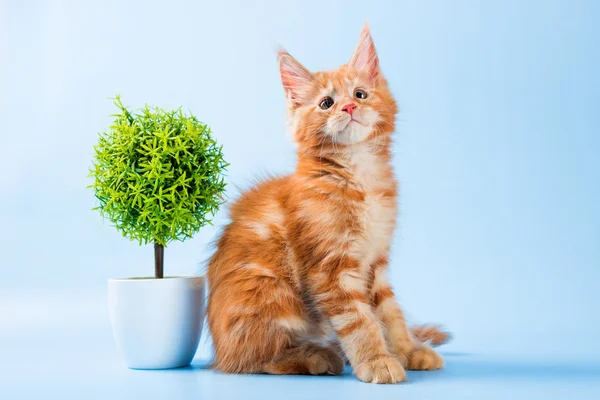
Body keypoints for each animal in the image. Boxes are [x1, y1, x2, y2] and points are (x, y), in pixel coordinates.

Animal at [206, 25, 446, 384]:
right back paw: (315, 356)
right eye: (326, 103)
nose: (348, 108)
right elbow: (359, 321)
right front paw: (377, 360)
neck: (359, 175)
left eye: (360, 94)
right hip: (270, 292)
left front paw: (407, 350)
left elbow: (390, 314)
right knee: (251, 357)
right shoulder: (330, 268)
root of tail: (217, 352)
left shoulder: (375, 263)